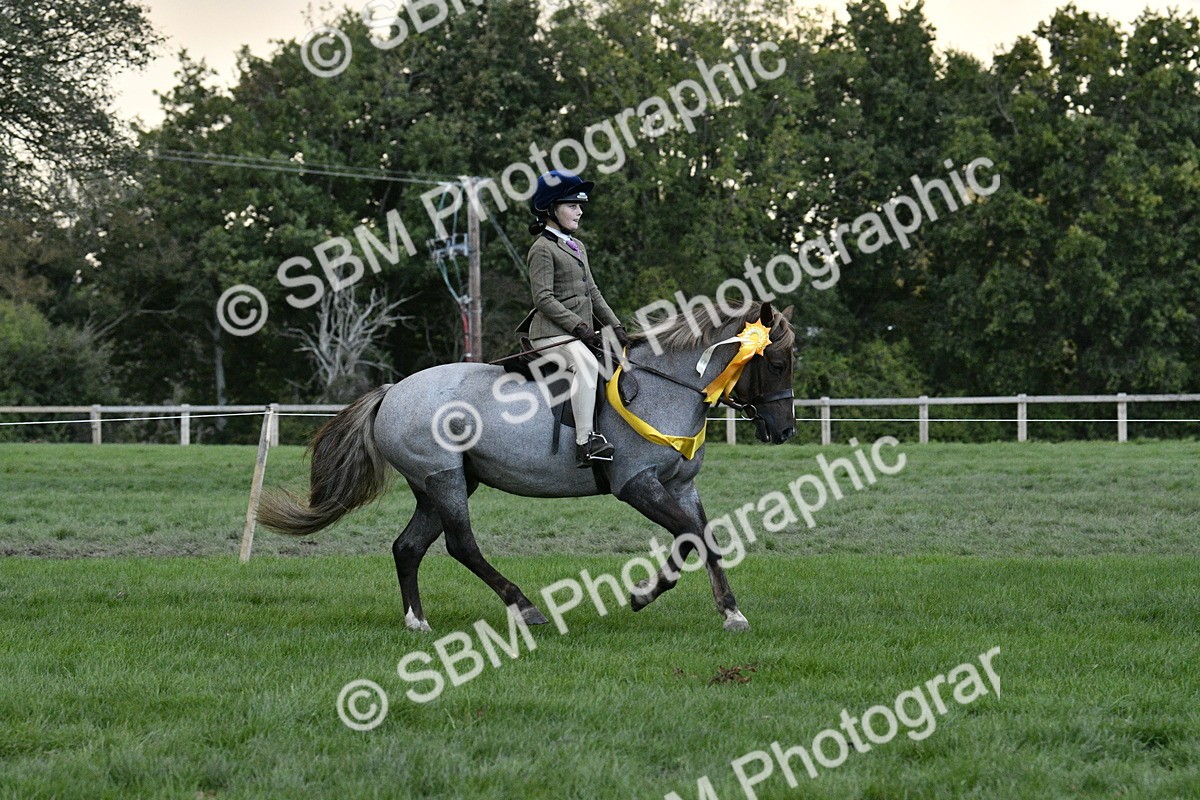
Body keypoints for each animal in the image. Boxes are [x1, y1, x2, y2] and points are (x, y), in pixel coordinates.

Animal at [257, 300, 797, 632]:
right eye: (775, 364)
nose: (785, 431)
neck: (667, 386)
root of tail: (393, 391)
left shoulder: (681, 486)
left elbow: (704, 539)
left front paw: (730, 613)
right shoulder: (638, 485)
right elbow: (690, 536)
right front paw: (643, 595)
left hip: (439, 484)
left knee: (408, 547)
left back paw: (417, 621)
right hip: (444, 479)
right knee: (461, 545)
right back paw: (525, 608)